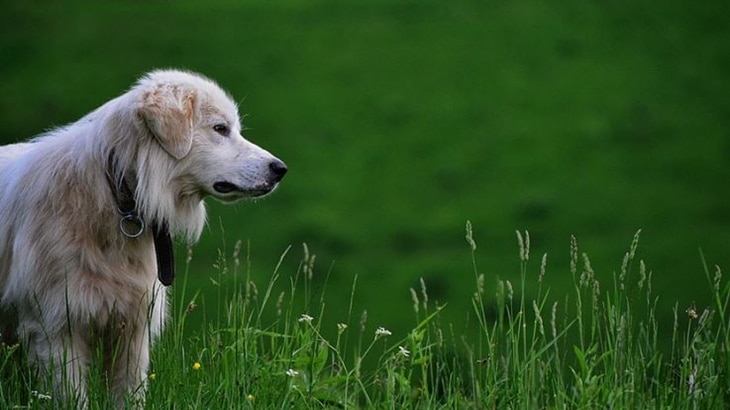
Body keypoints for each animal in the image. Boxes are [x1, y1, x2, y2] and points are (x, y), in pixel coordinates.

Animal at [0, 69, 288, 406]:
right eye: (220, 129)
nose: (281, 169)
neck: (116, 195)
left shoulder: (133, 328)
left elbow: (130, 395)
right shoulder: (57, 327)